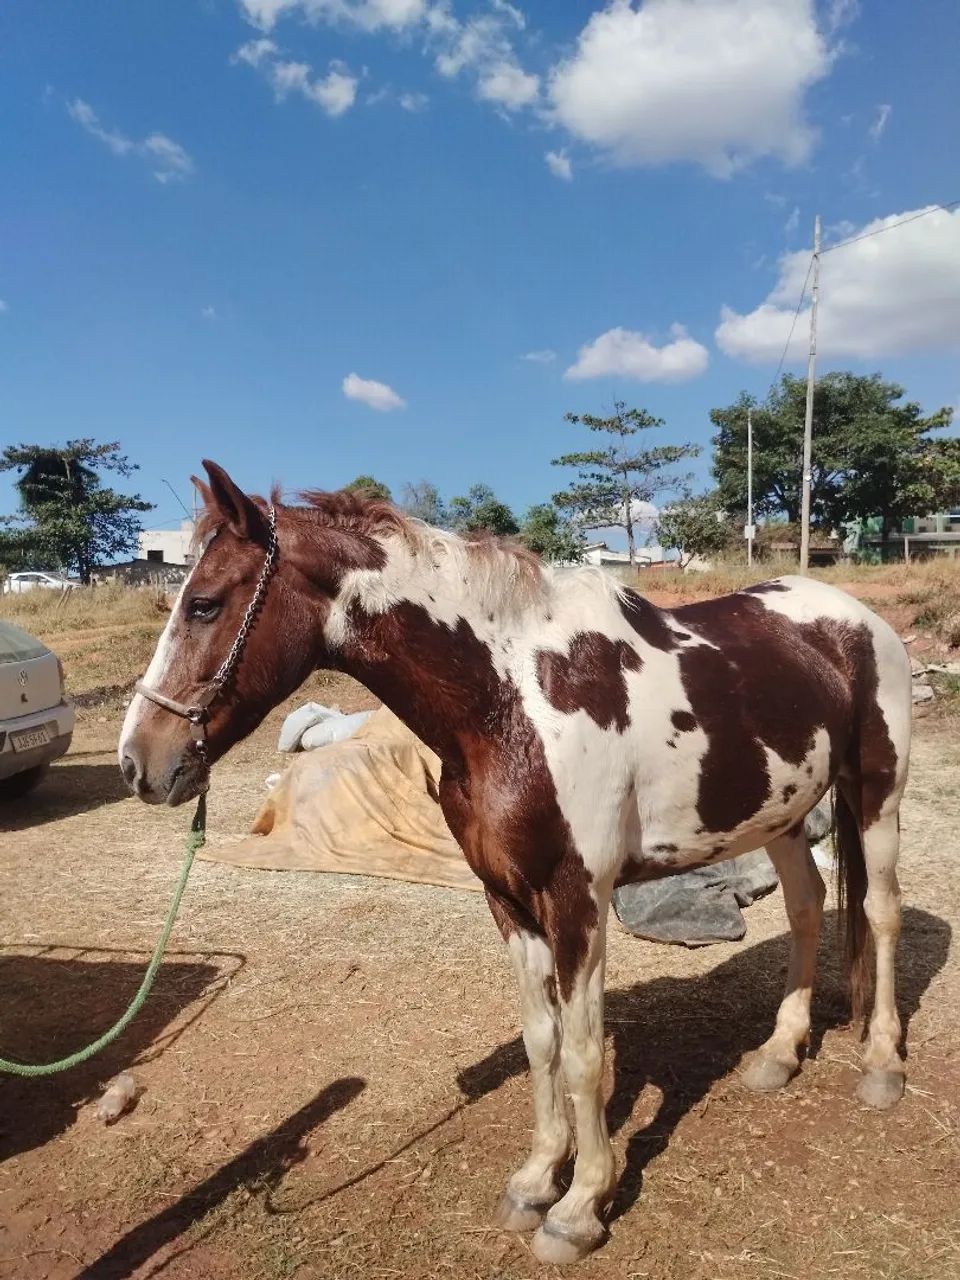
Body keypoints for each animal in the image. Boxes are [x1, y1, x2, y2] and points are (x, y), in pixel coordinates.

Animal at [120, 461, 912, 1265]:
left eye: (205, 604)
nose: (139, 762)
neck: (510, 702)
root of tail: (854, 619)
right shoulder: (506, 898)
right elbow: (542, 1040)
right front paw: (537, 1180)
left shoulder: (576, 900)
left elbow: (586, 1052)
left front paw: (582, 1205)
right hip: (782, 811)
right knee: (808, 906)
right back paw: (780, 1053)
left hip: (876, 796)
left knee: (879, 912)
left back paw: (882, 1065)